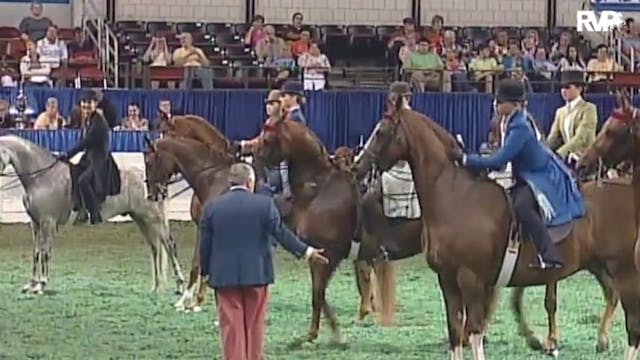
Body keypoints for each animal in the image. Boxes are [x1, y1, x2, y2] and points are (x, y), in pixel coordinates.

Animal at [0, 135, 186, 296]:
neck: (42, 177)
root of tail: (154, 182)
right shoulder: (36, 224)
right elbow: (36, 253)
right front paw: (32, 285)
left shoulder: (48, 223)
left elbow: (45, 252)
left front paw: (41, 285)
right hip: (141, 219)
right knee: (155, 248)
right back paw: (156, 287)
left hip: (154, 218)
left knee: (169, 246)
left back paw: (180, 286)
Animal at [254, 119, 360, 346]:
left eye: (267, 138)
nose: (255, 159)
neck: (320, 188)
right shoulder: (319, 255)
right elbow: (320, 293)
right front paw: (335, 331)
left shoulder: (328, 255)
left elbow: (317, 294)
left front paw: (312, 334)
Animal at [352, 102, 640, 358]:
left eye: (381, 132)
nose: (357, 166)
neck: (455, 197)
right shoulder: (447, 279)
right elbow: (456, 331)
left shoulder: (471, 278)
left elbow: (474, 331)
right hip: (600, 265)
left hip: (623, 271)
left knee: (632, 323)